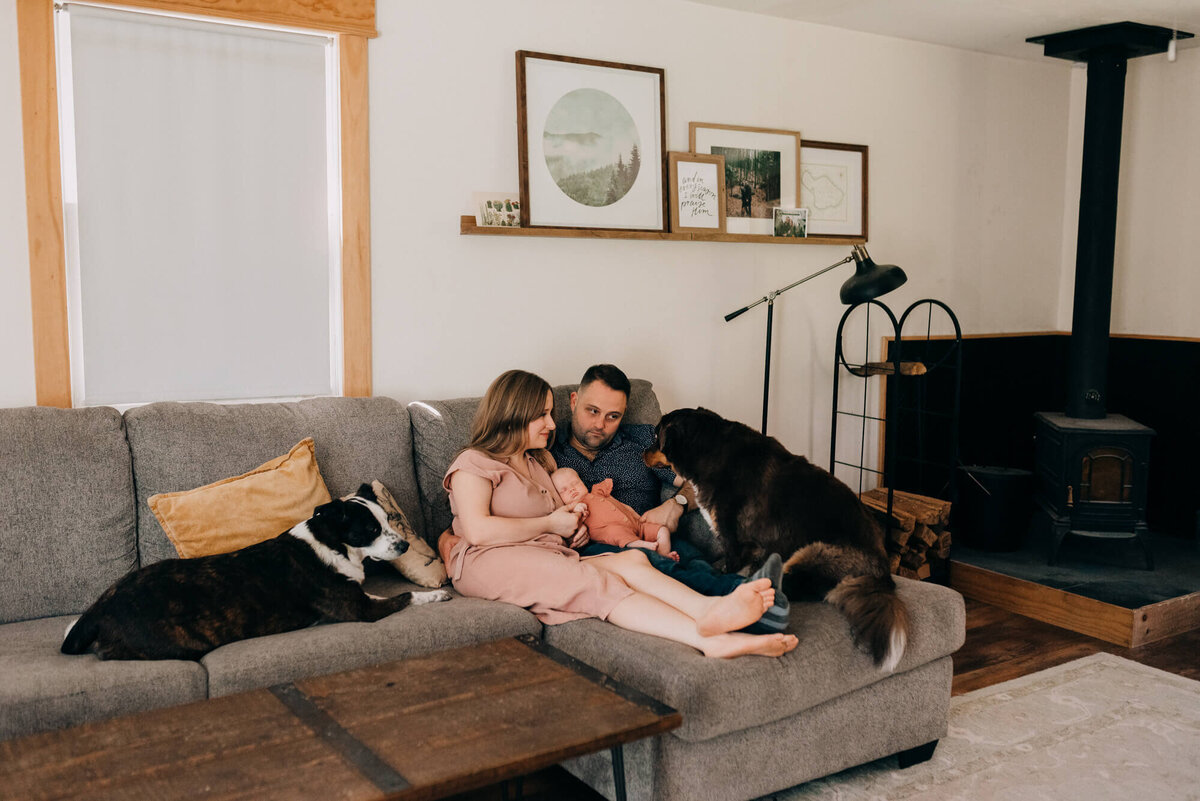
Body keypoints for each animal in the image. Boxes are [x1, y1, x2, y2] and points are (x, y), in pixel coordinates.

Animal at [59, 484, 451, 661]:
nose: (404, 546)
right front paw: (436, 594)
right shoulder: (360, 609)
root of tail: (100, 608)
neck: (331, 542)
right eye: (369, 529)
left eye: (389, 519)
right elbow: (405, 596)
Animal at [648, 410, 907, 671]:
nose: (642, 454)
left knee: (799, 588)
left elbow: (730, 566)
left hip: (814, 551)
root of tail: (883, 576)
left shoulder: (735, 540)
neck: (710, 447)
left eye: (656, 435)